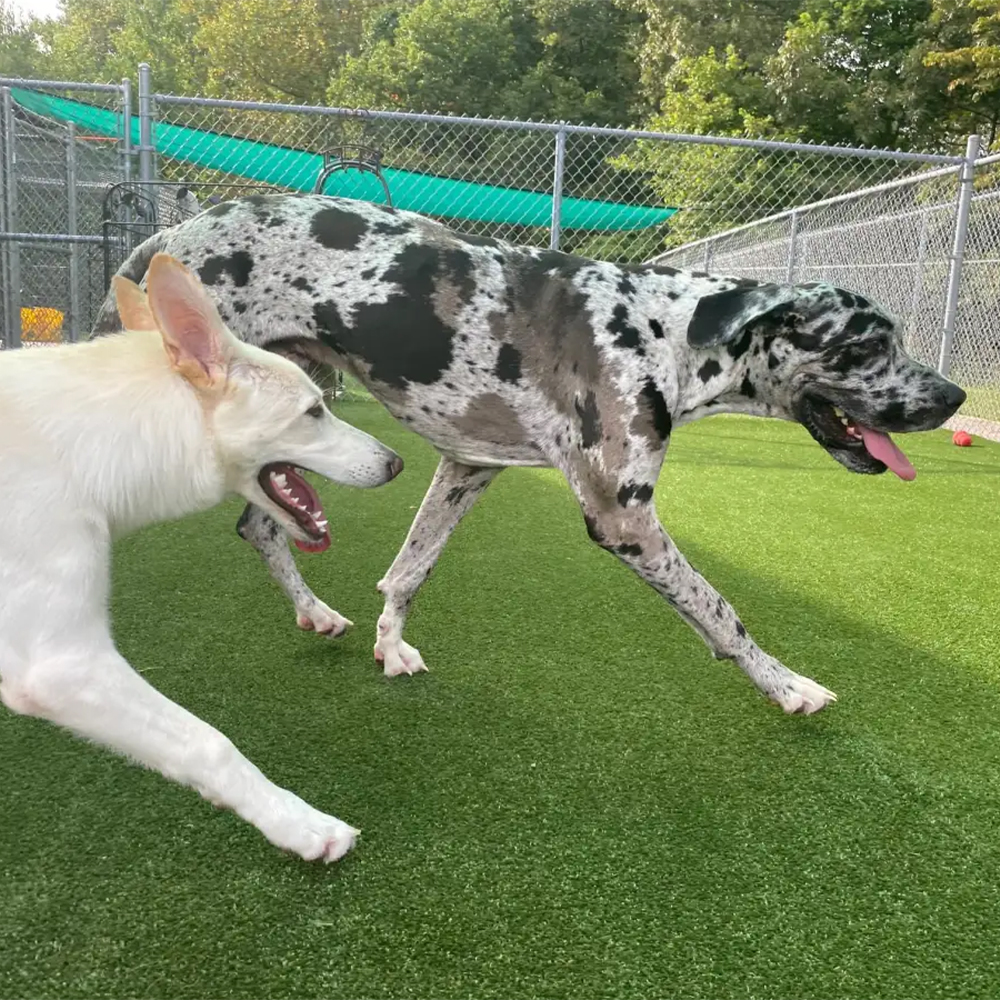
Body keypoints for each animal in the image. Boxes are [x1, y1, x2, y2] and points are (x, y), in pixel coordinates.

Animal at [2, 256, 406, 860]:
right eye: (313, 411)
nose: (397, 462)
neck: (91, 441)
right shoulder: (62, 665)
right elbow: (208, 743)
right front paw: (298, 823)